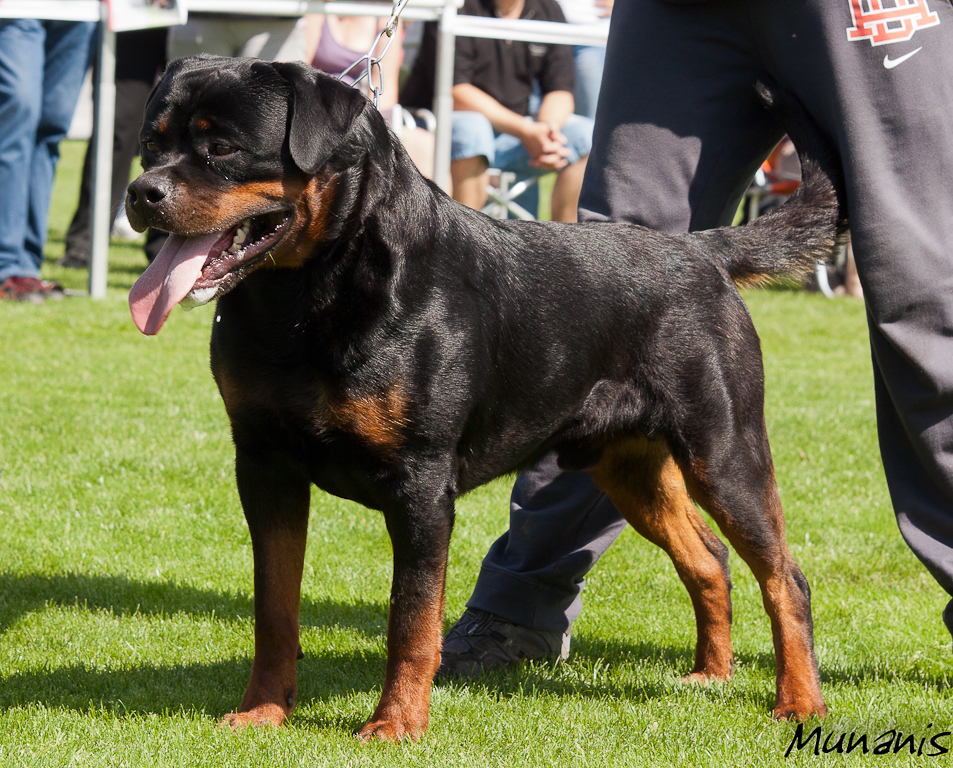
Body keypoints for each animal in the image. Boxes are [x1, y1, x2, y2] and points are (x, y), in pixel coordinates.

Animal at [124, 54, 840, 736]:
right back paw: (710, 674)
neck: (303, 297)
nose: (140, 191)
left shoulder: (419, 484)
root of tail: (704, 254)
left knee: (785, 578)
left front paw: (395, 724)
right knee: (709, 560)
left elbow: (411, 620)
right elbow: (274, 608)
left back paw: (800, 702)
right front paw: (264, 711)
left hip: (724, 450)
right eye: (150, 145)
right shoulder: (264, 465)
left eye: (222, 148)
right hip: (628, 466)